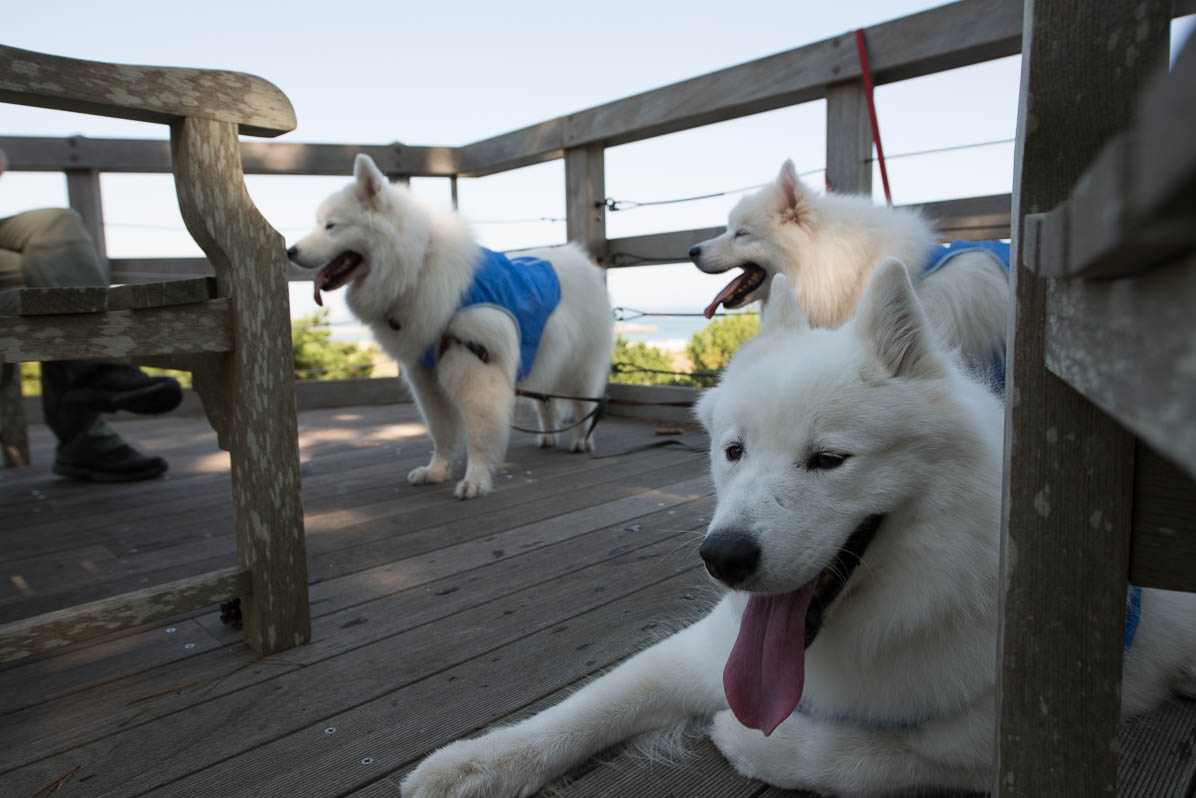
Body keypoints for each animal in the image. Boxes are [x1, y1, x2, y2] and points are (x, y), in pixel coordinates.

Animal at [287, 154, 607, 500]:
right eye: (319, 223)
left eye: (331, 226)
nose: (289, 251)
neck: (417, 266)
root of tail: (578, 257)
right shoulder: (425, 376)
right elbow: (440, 432)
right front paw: (436, 471)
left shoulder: (475, 368)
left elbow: (479, 434)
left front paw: (475, 481)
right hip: (542, 356)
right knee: (546, 402)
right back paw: (547, 436)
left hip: (580, 366)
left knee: (582, 404)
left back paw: (581, 441)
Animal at [401, 270, 1196, 798]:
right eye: (733, 451)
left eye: (828, 460)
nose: (721, 558)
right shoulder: (702, 650)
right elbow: (590, 704)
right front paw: (474, 765)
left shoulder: (984, 746)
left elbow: (854, 759)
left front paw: (746, 736)